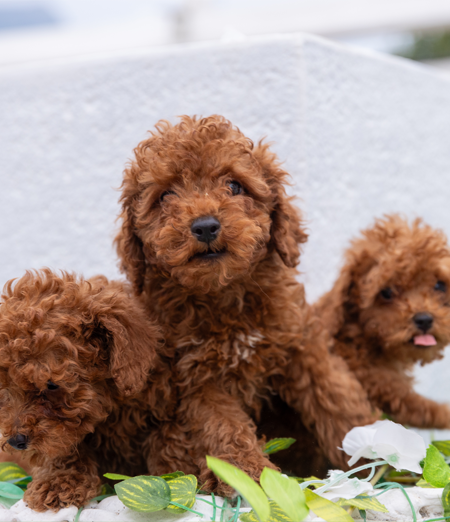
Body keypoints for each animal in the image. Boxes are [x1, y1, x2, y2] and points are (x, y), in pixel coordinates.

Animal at [115, 116, 376, 494]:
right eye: (165, 195)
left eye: (234, 186)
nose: (205, 226)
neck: (225, 294)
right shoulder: (196, 378)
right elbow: (225, 428)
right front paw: (252, 475)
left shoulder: (301, 344)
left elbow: (337, 402)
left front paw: (374, 452)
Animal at [314, 213, 450, 428]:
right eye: (386, 292)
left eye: (439, 285)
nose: (424, 319)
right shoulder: (383, 385)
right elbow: (420, 407)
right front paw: (444, 412)